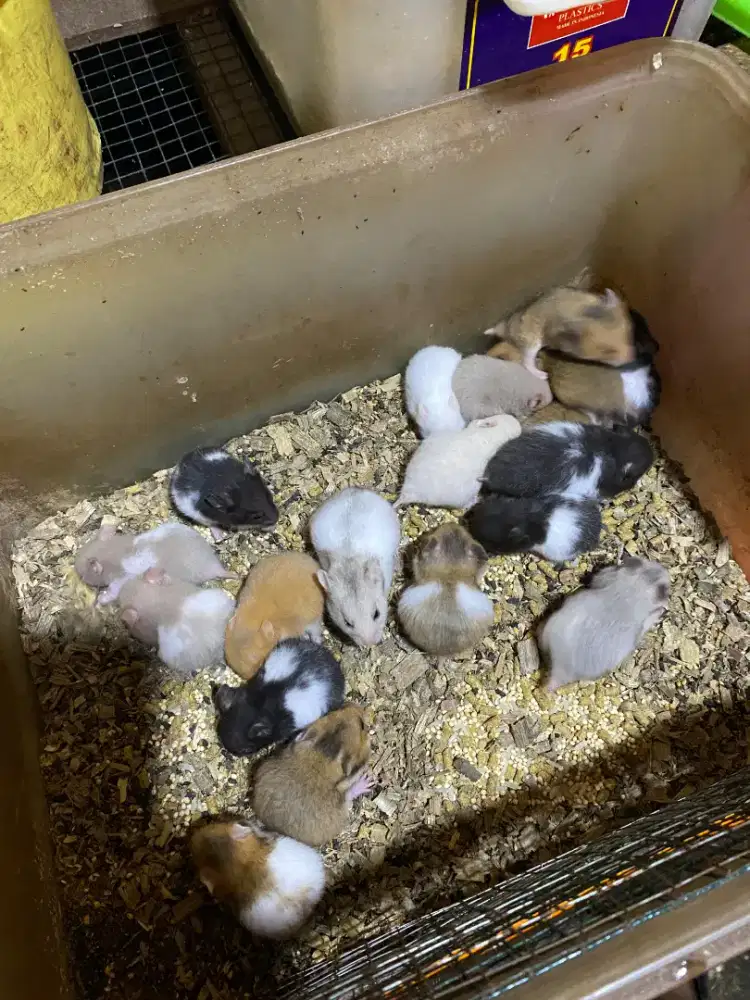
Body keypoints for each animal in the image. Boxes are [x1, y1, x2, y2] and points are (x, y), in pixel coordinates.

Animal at [75, 521, 234, 605]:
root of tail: (216, 567)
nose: (74, 567)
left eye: (82, 574)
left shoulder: (118, 582)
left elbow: (111, 593)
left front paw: (100, 599)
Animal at [484, 287, 635, 379]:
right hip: (531, 342)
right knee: (526, 362)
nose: (632, 359)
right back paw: (543, 375)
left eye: (629, 334)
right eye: (606, 350)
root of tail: (506, 329)